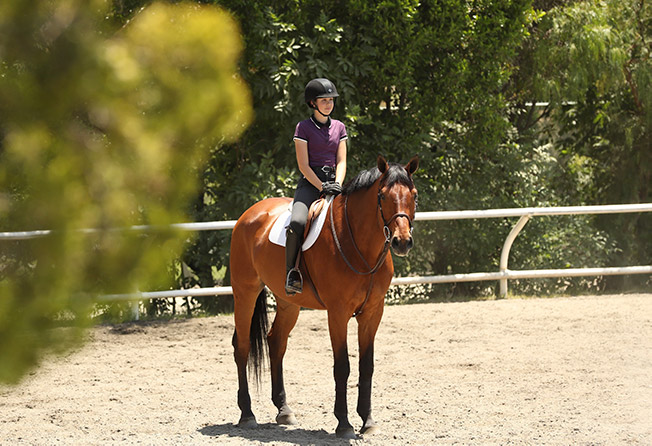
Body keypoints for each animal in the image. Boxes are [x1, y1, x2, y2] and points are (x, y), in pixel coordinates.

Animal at [229, 155, 420, 438]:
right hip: (245, 293)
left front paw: (368, 421)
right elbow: (342, 367)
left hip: (288, 303)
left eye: (414, 195)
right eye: (383, 195)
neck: (361, 247)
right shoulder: (338, 313)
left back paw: (284, 410)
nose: (402, 242)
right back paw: (247, 414)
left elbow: (367, 366)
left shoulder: (373, 313)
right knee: (242, 346)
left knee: (276, 342)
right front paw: (344, 424)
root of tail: (250, 213)